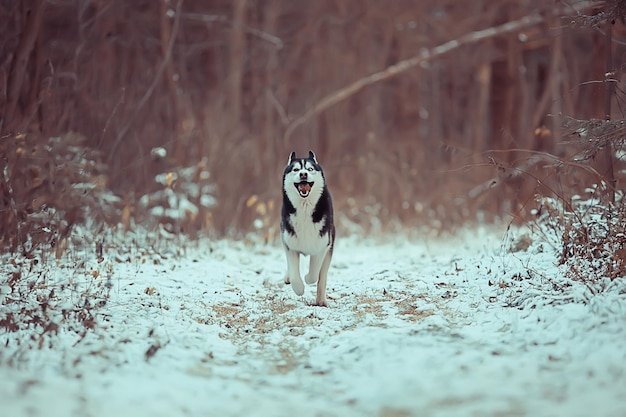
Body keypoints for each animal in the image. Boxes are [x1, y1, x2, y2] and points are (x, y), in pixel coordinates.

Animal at [280, 150, 334, 306]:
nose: (303, 174)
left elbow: (314, 274)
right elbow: (294, 273)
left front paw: (307, 278)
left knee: (322, 276)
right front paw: (298, 288)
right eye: (296, 169)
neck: (304, 210)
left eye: (310, 169)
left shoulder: (322, 246)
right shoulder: (290, 244)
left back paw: (321, 300)